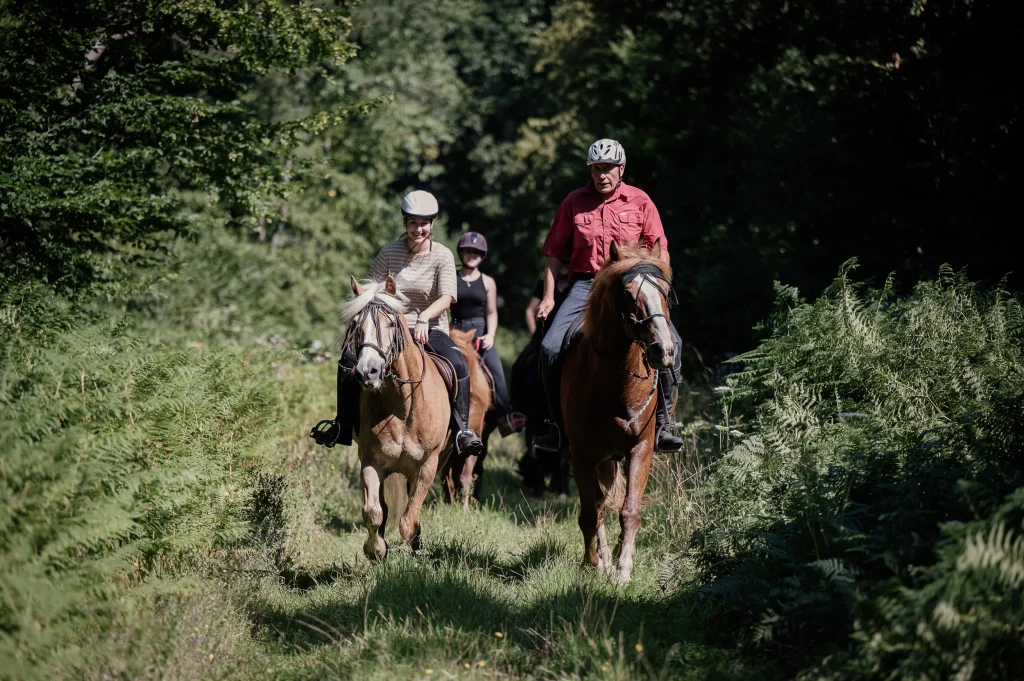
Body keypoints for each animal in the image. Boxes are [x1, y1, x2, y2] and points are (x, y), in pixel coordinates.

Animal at [343, 275, 452, 560]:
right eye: (356, 326)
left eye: (391, 324)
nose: (367, 372)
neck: (403, 405)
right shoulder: (371, 460)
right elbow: (373, 512)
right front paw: (376, 550)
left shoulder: (427, 464)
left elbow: (408, 521)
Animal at [561, 240, 677, 583]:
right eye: (627, 293)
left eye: (666, 291)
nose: (663, 350)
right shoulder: (582, 455)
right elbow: (591, 512)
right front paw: (593, 564)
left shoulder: (641, 448)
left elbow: (630, 510)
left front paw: (624, 570)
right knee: (598, 505)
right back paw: (602, 560)